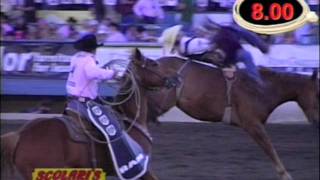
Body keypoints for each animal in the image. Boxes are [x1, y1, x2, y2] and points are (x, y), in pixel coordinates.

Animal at [131, 48, 318, 180]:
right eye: (318, 93)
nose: (317, 121)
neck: (261, 88)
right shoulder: (253, 124)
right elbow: (269, 147)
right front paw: (285, 175)